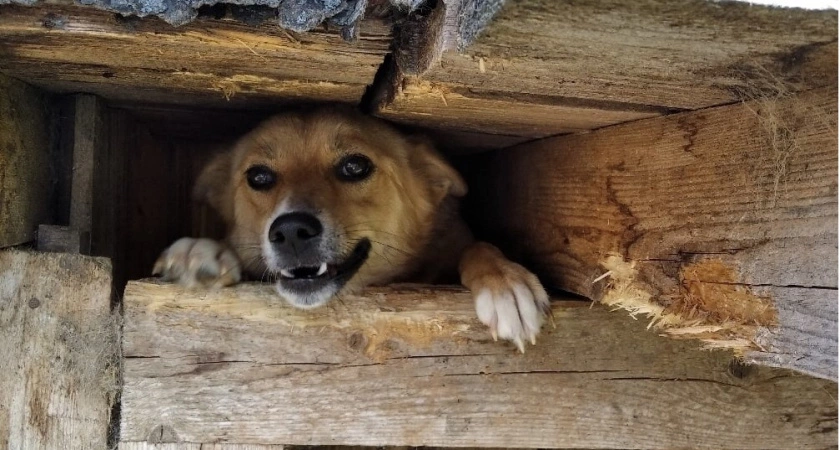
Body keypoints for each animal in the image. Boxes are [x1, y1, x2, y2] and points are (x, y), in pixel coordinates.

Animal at [153, 106, 552, 352]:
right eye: (259, 177)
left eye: (355, 166)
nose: (291, 231)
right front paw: (201, 251)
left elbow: (478, 246)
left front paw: (505, 282)